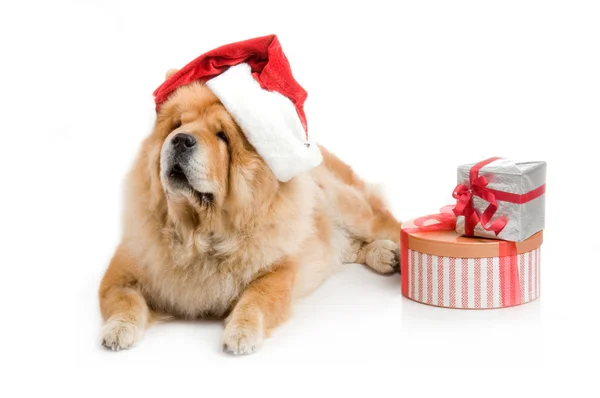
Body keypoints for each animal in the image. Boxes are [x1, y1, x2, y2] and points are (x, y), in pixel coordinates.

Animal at [98, 69, 404, 354]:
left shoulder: (280, 268)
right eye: (178, 124)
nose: (181, 139)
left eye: (222, 136)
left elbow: (257, 297)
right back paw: (384, 256)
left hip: (351, 208)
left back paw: (397, 254)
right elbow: (124, 298)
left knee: (386, 223)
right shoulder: (121, 270)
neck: (198, 232)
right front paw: (118, 330)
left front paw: (241, 333)